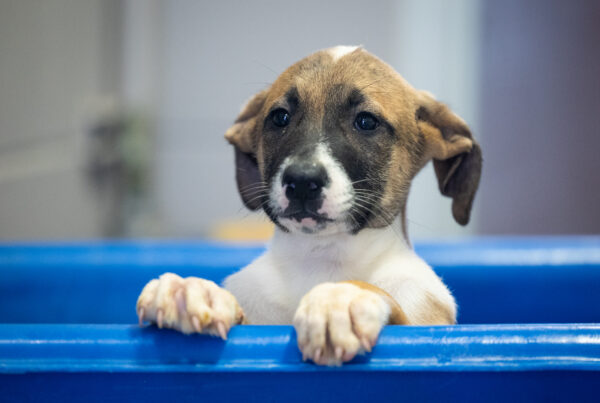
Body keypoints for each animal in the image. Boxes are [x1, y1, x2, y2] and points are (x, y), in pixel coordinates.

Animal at [137, 45, 482, 368]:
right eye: (280, 117)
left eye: (366, 121)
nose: (301, 182)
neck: (319, 259)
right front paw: (192, 290)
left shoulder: (422, 320)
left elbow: (381, 295)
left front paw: (342, 298)